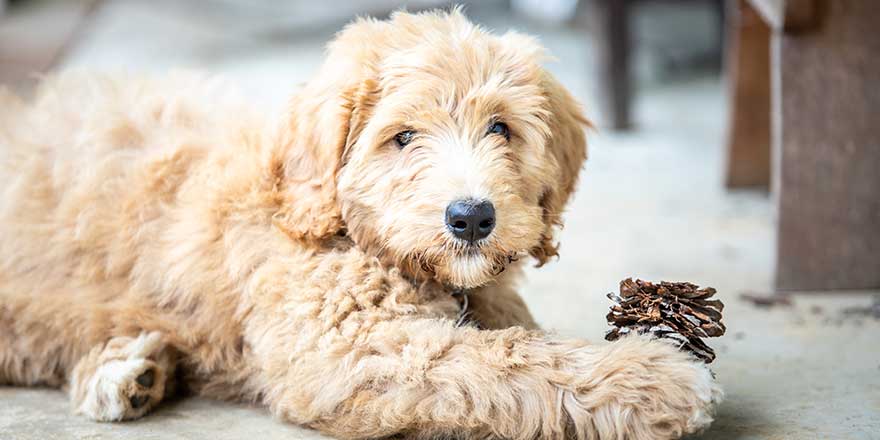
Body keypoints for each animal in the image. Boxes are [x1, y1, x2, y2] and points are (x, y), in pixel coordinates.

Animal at [0, 7, 720, 440]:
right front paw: (655, 378)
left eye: (500, 128)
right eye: (402, 138)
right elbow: (507, 361)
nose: (471, 218)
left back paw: (132, 371)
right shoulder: (349, 346)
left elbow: (516, 336)